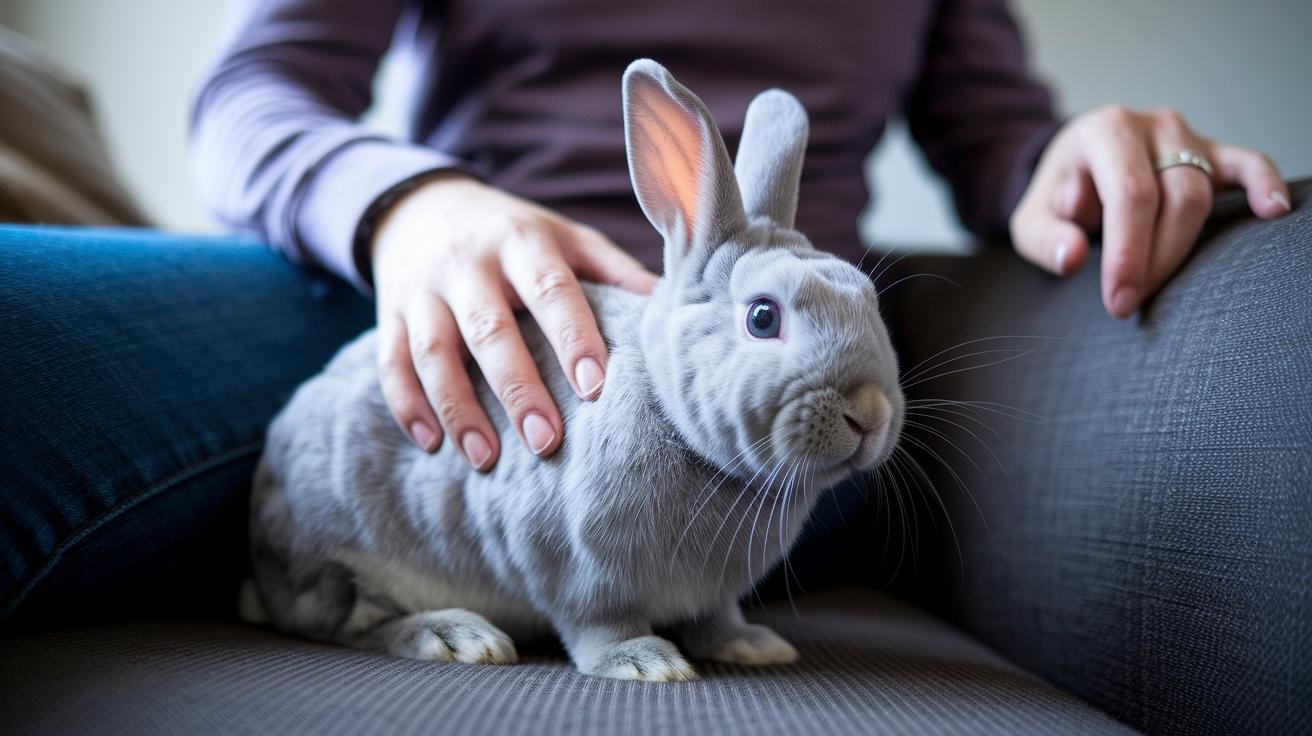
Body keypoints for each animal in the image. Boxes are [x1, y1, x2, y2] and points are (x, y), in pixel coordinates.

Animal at [245, 58, 904, 682]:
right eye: (763, 318)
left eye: (869, 300)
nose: (869, 416)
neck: (676, 420)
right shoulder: (576, 570)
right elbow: (598, 625)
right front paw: (646, 664)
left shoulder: (711, 597)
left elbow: (716, 620)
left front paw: (753, 646)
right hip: (338, 562)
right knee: (348, 625)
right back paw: (458, 638)